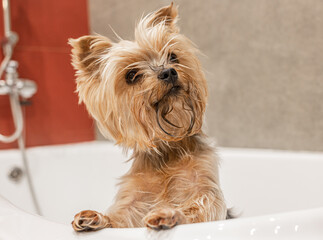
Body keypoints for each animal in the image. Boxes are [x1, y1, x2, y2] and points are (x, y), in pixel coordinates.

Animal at [69, 1, 228, 231]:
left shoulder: (204, 188)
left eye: (173, 56)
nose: (168, 72)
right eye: (131, 75)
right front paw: (95, 217)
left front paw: (169, 212)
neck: (167, 149)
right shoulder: (134, 202)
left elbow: (200, 206)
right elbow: (119, 219)